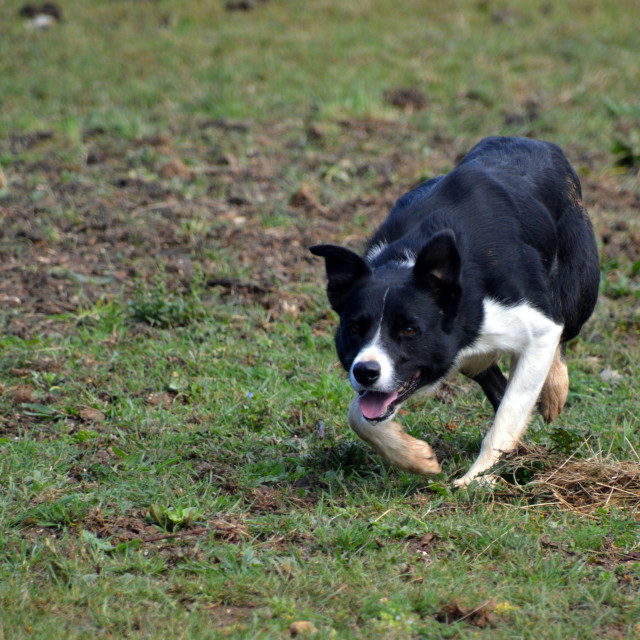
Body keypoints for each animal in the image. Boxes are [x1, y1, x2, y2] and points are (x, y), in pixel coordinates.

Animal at [310, 136, 600, 484]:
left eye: (409, 330)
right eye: (354, 328)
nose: (365, 372)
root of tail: (536, 142)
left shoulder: (537, 327)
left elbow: (509, 413)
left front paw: (475, 480)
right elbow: (359, 414)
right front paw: (415, 457)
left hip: (577, 287)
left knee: (563, 329)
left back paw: (555, 387)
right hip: (470, 359)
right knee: (492, 379)